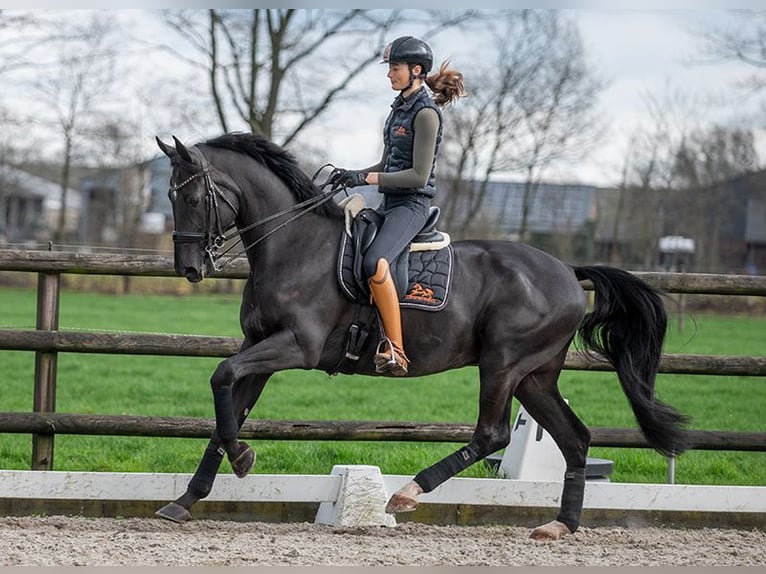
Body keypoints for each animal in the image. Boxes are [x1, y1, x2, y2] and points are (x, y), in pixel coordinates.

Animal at [153, 133, 688, 544]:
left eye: (194, 198)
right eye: (170, 198)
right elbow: (227, 406)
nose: (190, 269)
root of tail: (567, 271)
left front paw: (242, 459)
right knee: (575, 439)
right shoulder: (258, 346)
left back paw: (407, 492)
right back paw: (561, 525)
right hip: (536, 376)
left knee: (492, 433)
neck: (293, 246)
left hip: (503, 364)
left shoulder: (295, 347)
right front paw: (189, 497)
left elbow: (222, 378)